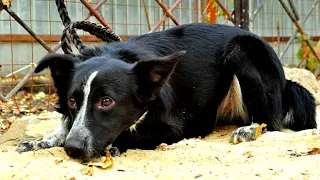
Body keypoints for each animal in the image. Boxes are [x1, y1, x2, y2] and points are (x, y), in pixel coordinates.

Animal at [17, 22, 318, 159]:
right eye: (72, 101)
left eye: (106, 101)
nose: (73, 149)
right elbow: (64, 125)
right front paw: (43, 140)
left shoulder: (177, 128)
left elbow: (133, 135)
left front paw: (115, 144)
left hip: (243, 49)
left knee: (272, 122)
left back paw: (249, 130)